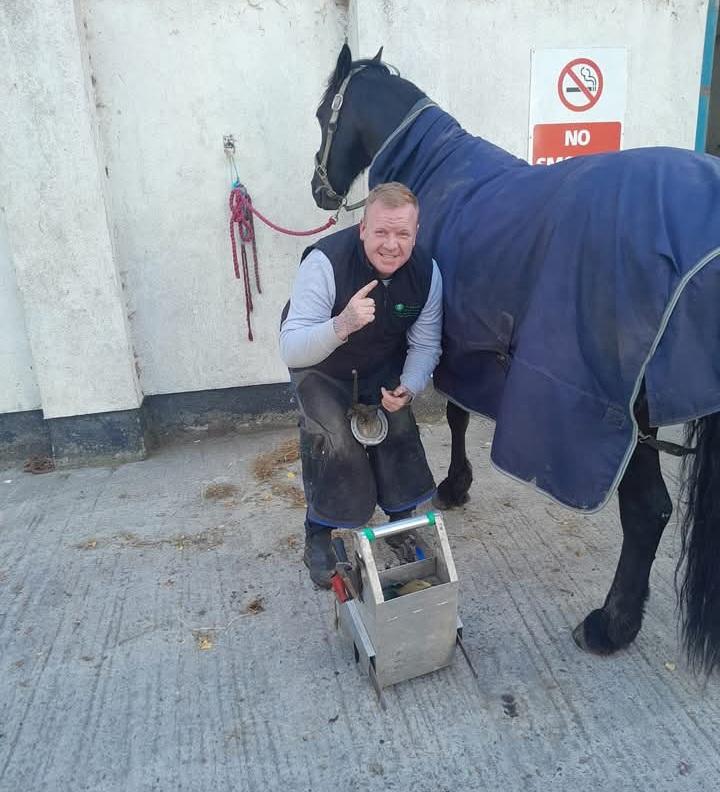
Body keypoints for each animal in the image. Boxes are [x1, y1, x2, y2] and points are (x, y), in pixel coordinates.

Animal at [309, 44, 720, 675]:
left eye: (320, 113)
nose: (318, 188)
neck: (438, 170)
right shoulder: (466, 344)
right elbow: (457, 414)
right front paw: (456, 484)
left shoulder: (449, 338)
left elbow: (454, 413)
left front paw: (452, 486)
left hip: (629, 413)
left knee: (648, 511)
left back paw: (610, 625)